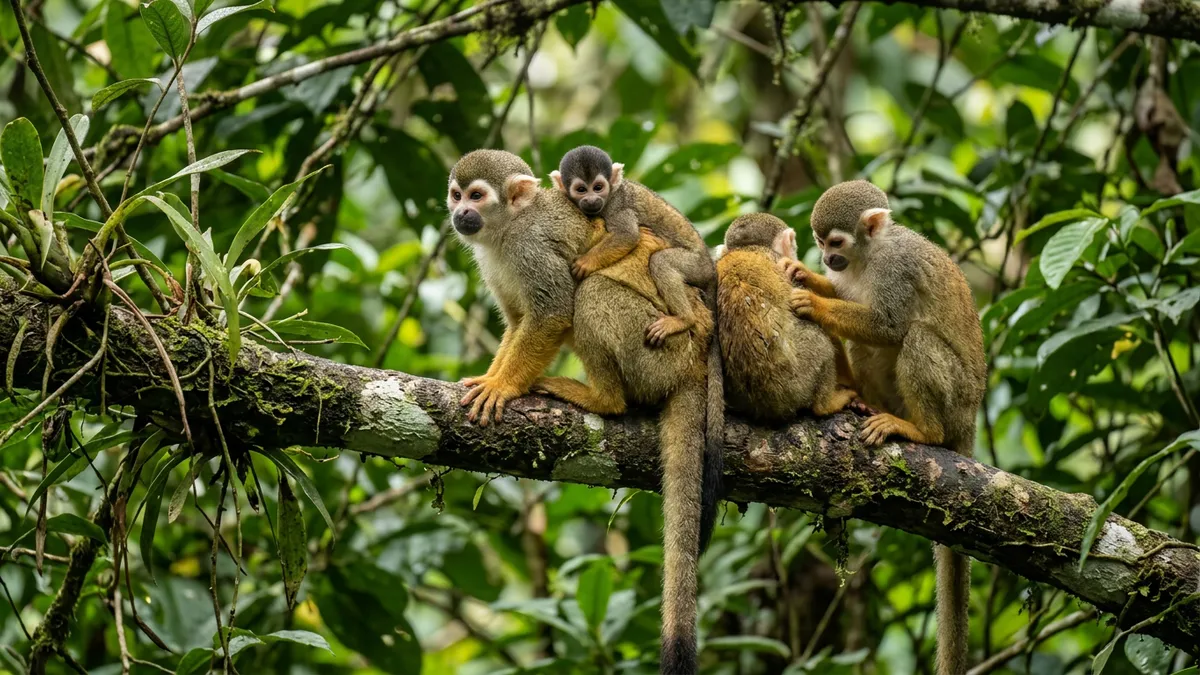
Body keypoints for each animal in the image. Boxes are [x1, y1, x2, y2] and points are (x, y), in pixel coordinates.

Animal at [446, 149, 594, 427]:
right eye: (457, 196)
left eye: (476, 196)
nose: (460, 212)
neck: (510, 225)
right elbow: (517, 321)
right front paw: (488, 378)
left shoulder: (530, 246)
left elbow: (551, 313)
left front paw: (501, 385)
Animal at [551, 145, 716, 347]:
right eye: (581, 189)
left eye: (598, 188)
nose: (591, 200)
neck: (611, 194)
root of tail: (710, 266)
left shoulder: (617, 206)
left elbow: (627, 235)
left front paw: (585, 263)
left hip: (697, 266)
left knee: (661, 262)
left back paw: (684, 320)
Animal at [788, 180, 986, 675]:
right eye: (819, 242)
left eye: (836, 242)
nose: (826, 259)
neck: (870, 254)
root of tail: (971, 418)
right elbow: (854, 305)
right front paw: (805, 277)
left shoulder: (897, 269)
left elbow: (889, 325)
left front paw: (813, 302)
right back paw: (865, 401)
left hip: (956, 398)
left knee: (914, 336)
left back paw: (922, 432)